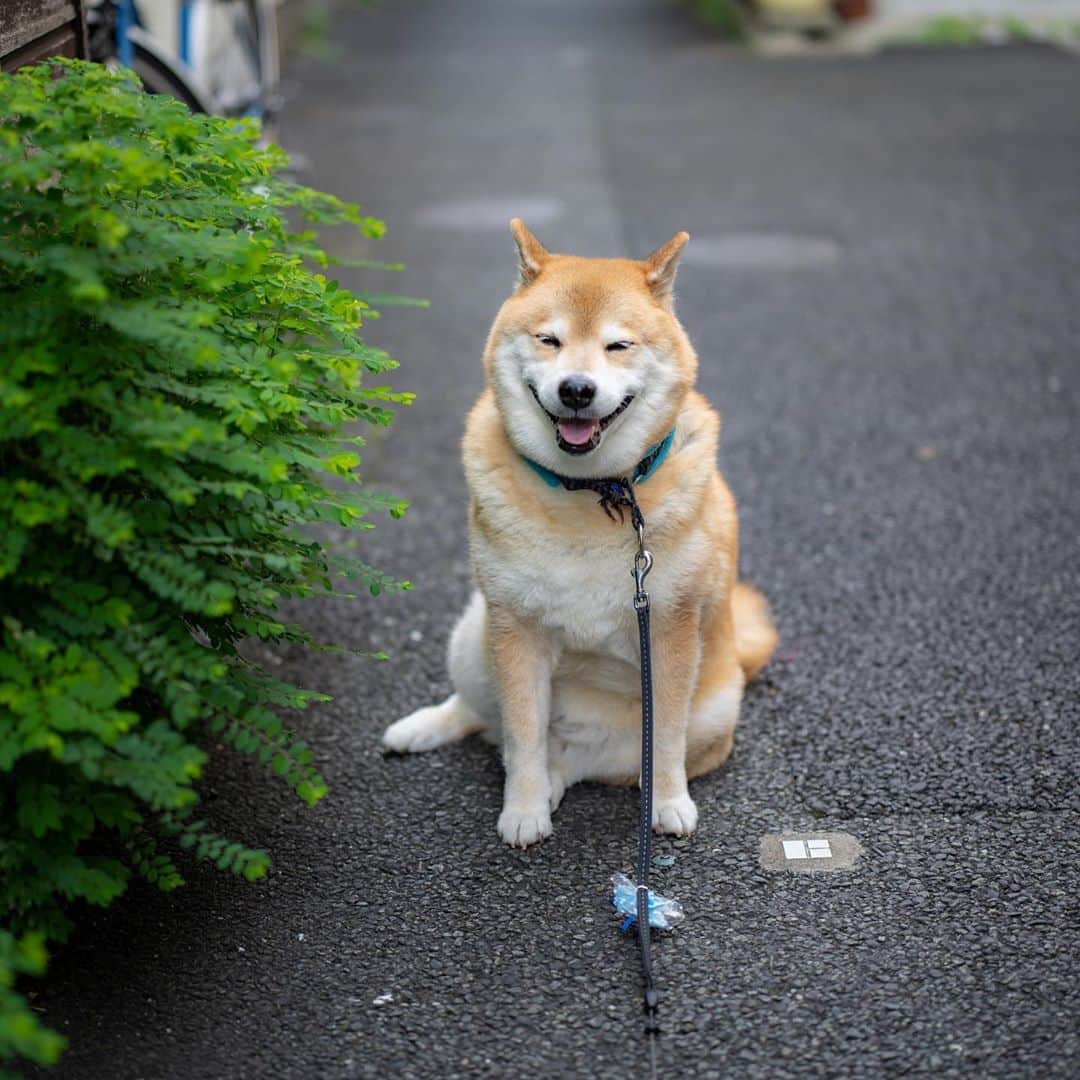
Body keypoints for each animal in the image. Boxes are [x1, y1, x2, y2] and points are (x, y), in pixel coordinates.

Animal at [384, 219, 773, 842]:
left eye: (618, 346)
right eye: (549, 340)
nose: (576, 389)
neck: (596, 493)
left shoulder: (670, 632)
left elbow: (665, 738)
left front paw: (669, 802)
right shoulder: (515, 628)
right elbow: (522, 736)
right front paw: (522, 811)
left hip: (711, 713)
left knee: (596, 763)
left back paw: (569, 778)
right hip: (474, 636)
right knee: (489, 723)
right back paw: (423, 733)